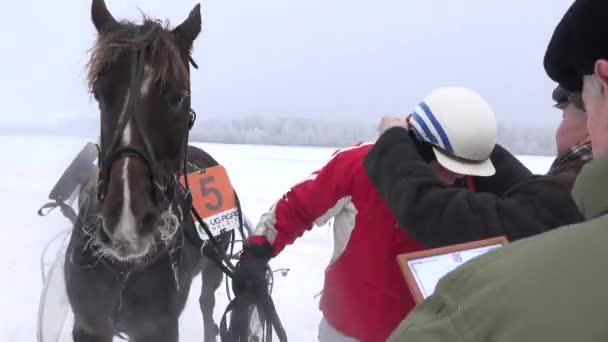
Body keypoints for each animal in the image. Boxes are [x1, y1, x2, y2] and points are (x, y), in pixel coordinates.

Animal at [64, 1, 235, 340]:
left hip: (214, 263)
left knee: (207, 302)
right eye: (100, 93)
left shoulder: (159, 327)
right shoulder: (89, 325)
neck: (124, 269)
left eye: (179, 96)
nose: (127, 221)